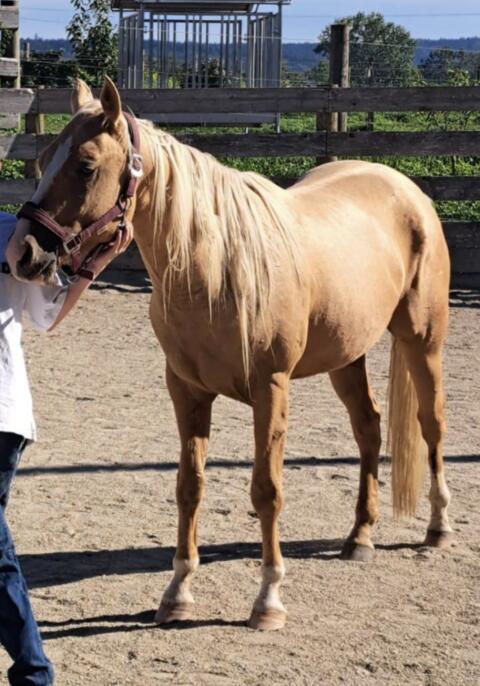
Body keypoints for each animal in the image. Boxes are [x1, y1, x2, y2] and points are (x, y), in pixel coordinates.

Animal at [9, 77, 453, 631]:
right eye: (45, 156)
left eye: (86, 165)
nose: (22, 254)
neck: (215, 268)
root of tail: (407, 190)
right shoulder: (187, 391)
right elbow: (189, 486)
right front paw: (177, 593)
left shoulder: (271, 388)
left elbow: (266, 490)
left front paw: (268, 600)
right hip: (347, 354)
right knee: (368, 428)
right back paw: (360, 538)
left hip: (422, 340)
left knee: (431, 424)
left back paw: (437, 528)